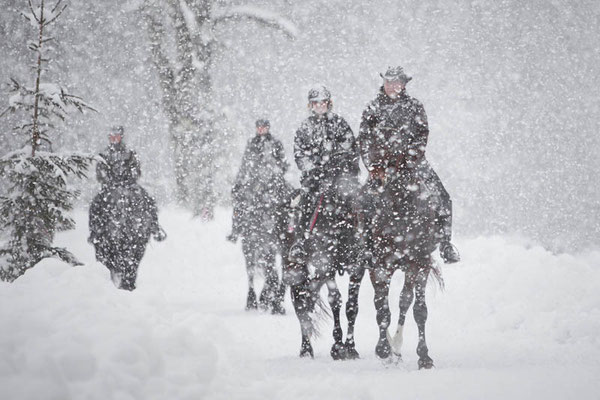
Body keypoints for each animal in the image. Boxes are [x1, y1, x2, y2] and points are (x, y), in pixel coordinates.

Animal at [284, 178, 364, 360]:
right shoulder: (325, 265)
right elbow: (335, 300)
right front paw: (337, 347)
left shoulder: (357, 268)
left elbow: (352, 306)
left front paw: (350, 348)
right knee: (300, 302)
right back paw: (306, 349)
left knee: (309, 296)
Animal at [356, 164, 446, 370]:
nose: (377, 182)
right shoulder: (379, 266)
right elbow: (381, 308)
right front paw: (384, 350)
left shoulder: (419, 263)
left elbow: (415, 307)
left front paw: (424, 357)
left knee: (407, 301)